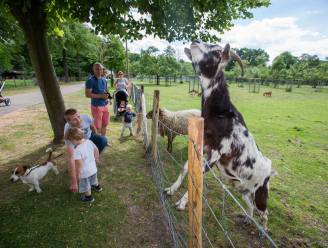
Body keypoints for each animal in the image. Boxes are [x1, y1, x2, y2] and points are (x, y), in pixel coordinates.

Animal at [164, 40, 276, 229]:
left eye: (216, 52)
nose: (194, 41)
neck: (220, 114)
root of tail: (270, 170)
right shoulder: (203, 146)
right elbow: (186, 167)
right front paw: (171, 189)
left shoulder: (216, 154)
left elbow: (198, 177)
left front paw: (181, 203)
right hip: (241, 187)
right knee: (250, 204)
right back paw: (248, 218)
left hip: (261, 192)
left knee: (265, 212)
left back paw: (263, 229)